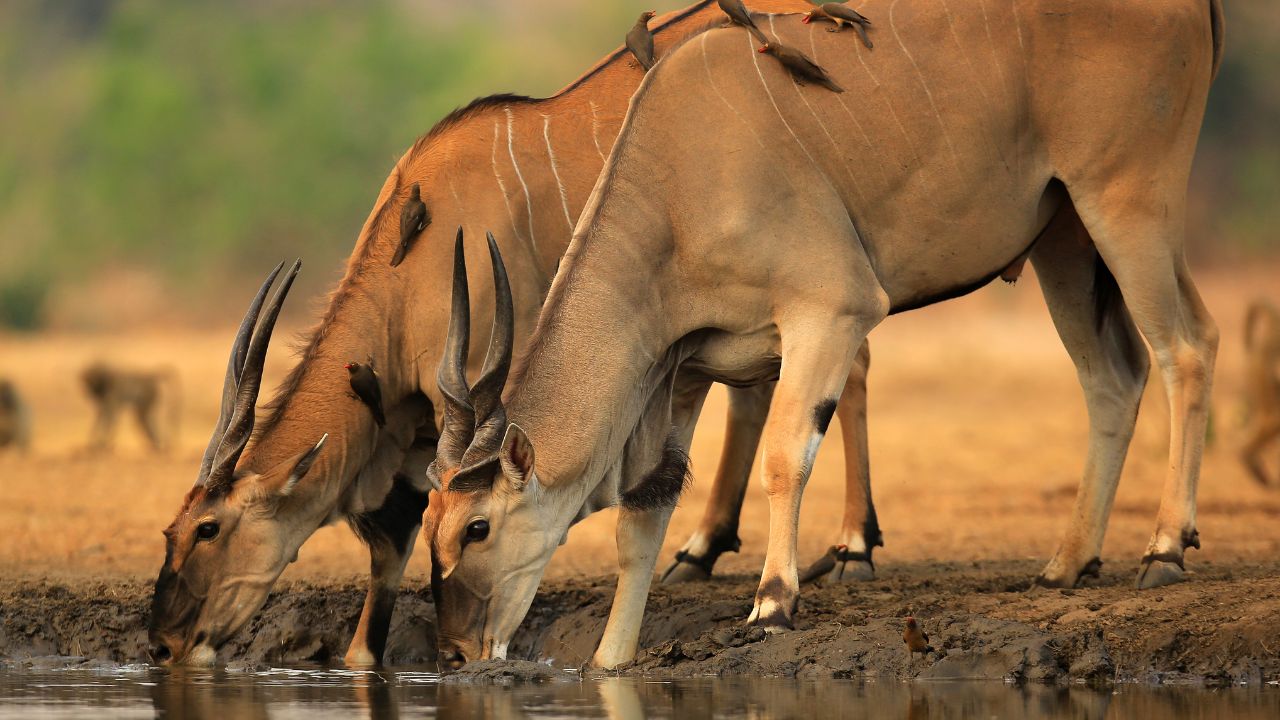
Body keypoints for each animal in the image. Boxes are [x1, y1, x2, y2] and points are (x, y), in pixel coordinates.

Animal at [147, 0, 879, 667]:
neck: (416, 247)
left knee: (849, 371)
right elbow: (387, 565)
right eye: (170, 532)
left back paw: (853, 546)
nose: (163, 643)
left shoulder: (468, 399)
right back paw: (705, 550)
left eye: (209, 529)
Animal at [426, 0, 1224, 668]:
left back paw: (1163, 551)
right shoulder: (684, 371)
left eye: (476, 528)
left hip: (1126, 205)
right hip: (1065, 239)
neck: (676, 179)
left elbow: (785, 456)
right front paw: (610, 661)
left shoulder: (830, 312)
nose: (458, 652)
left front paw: (774, 601)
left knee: (1187, 346)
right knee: (1112, 376)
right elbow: (642, 519)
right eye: (430, 526)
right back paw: (1067, 563)